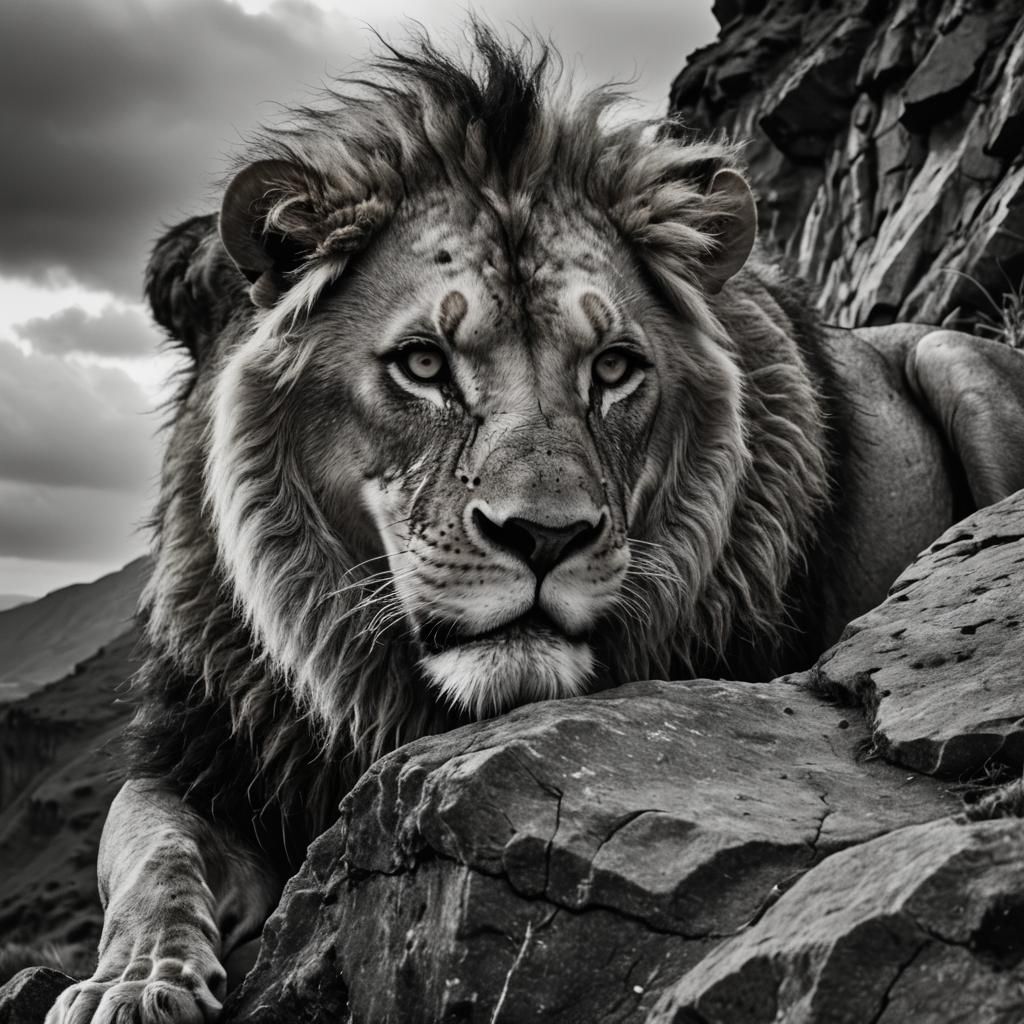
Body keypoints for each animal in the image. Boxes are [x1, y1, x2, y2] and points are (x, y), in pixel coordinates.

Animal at [46, 25, 1024, 1024]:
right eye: (424, 364)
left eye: (615, 367)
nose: (545, 538)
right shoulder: (204, 748)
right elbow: (152, 852)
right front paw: (134, 982)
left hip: (955, 362)